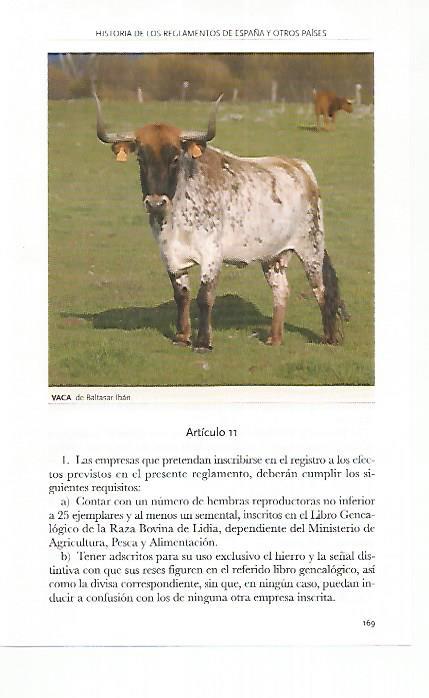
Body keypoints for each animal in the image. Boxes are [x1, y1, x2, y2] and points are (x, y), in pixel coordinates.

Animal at [93, 92, 346, 351]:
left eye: (175, 158)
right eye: (140, 160)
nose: (155, 203)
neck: (177, 217)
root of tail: (300, 167)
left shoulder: (212, 254)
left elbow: (204, 297)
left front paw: (203, 342)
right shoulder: (170, 256)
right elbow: (181, 295)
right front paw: (182, 336)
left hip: (311, 246)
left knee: (321, 289)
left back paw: (330, 338)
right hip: (273, 255)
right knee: (281, 289)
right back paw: (274, 338)